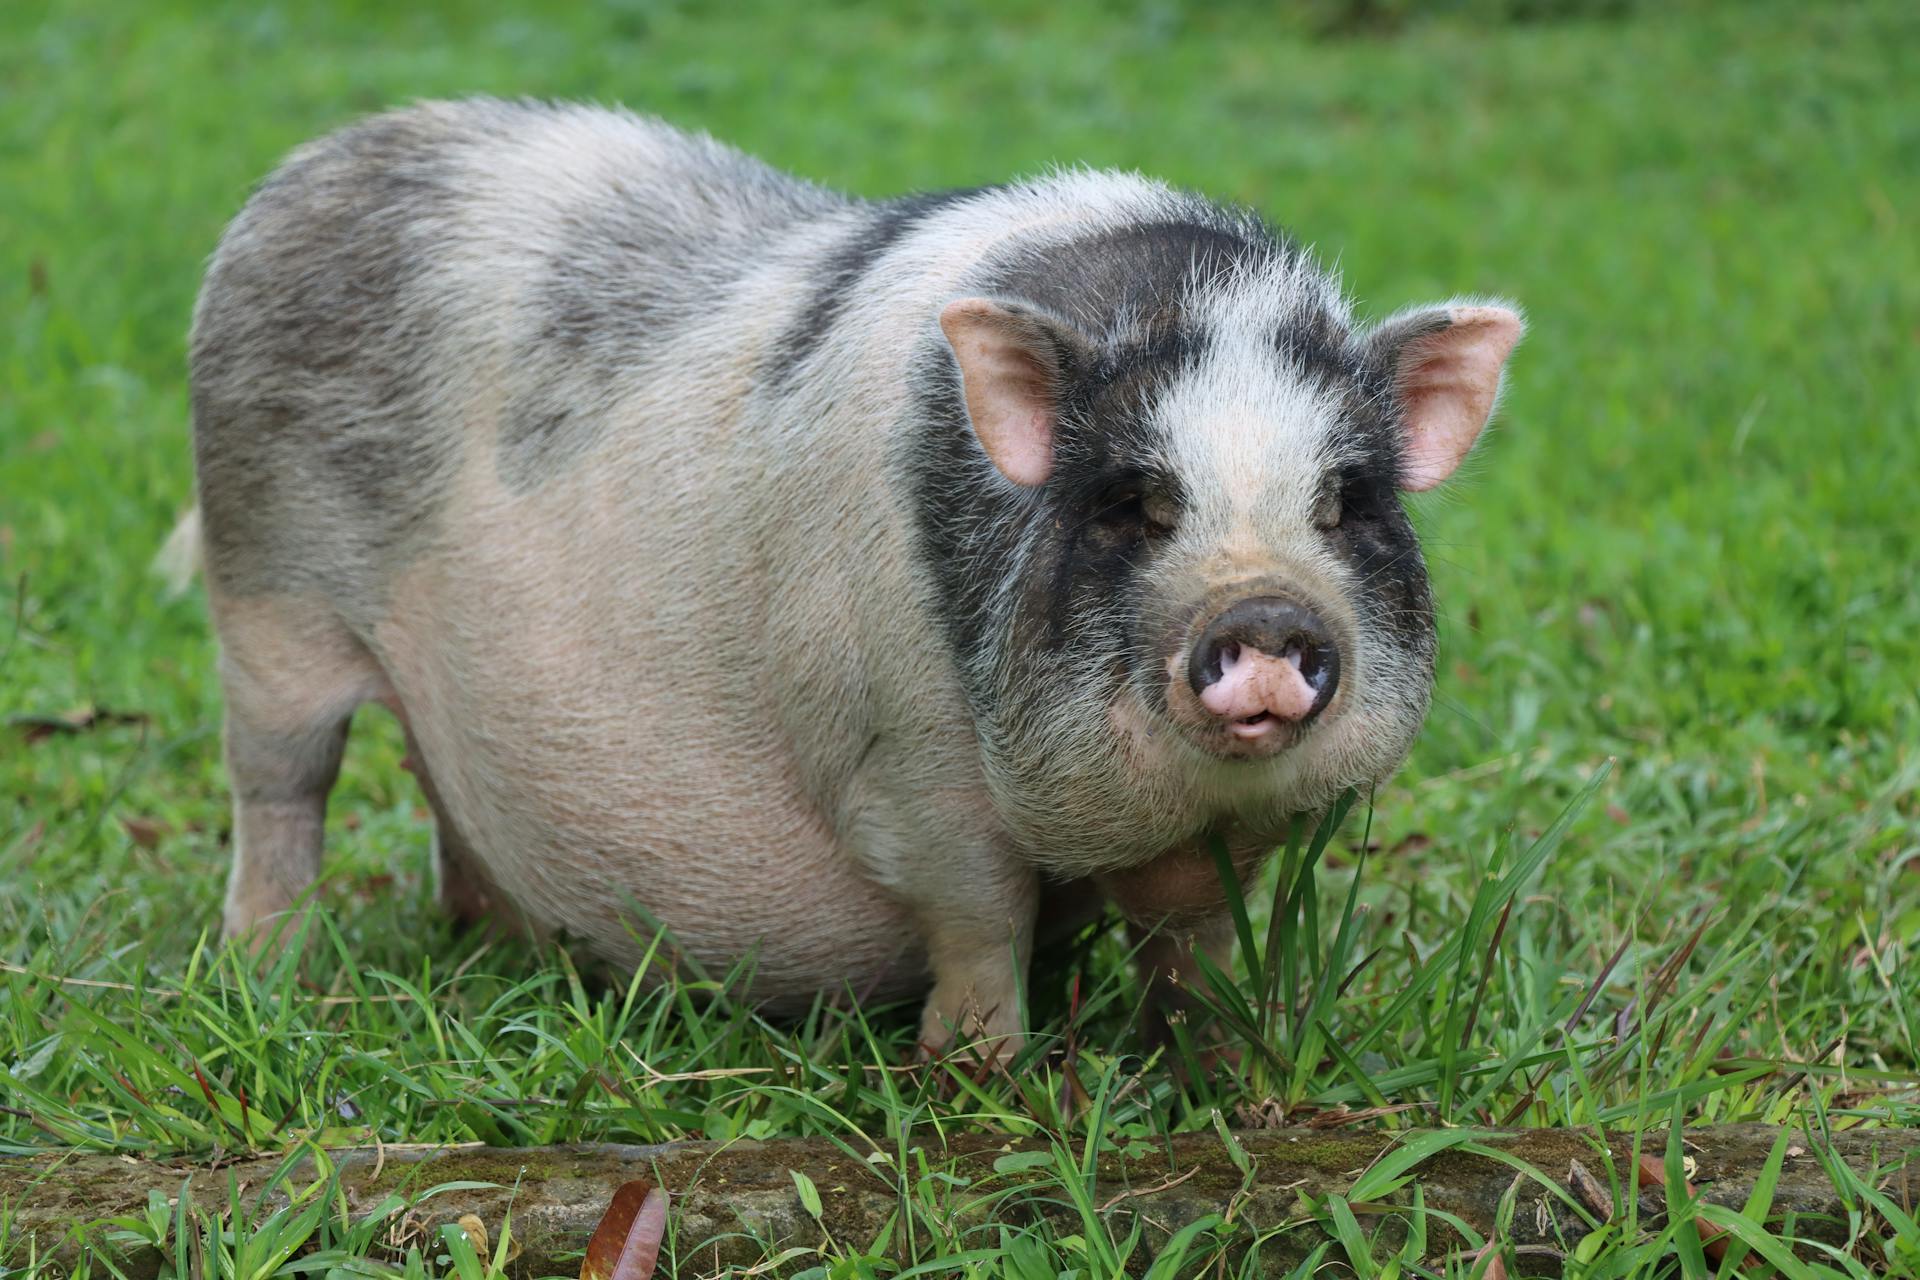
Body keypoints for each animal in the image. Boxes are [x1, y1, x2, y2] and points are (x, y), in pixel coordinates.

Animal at [183, 100, 1528, 1051]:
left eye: (1347, 500)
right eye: (1131, 504)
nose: (1263, 611)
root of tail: (319, 160)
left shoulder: (1225, 840)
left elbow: (1198, 939)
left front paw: (1223, 1072)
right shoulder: (904, 749)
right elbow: (981, 914)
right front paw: (980, 1074)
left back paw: (484, 945)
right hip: (264, 589)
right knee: (281, 780)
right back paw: (270, 970)